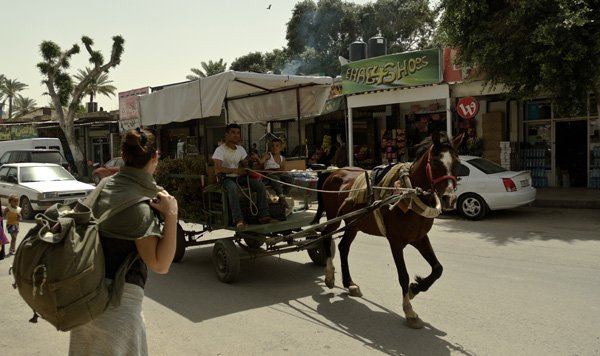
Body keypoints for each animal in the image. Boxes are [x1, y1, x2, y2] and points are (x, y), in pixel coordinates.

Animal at [316, 133, 462, 328]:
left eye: (457, 163)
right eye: (436, 163)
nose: (449, 198)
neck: (408, 193)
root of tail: (333, 172)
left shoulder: (420, 238)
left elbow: (438, 269)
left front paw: (416, 288)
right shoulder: (396, 241)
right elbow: (403, 276)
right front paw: (409, 311)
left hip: (354, 224)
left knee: (343, 247)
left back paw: (349, 283)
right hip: (334, 217)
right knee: (325, 235)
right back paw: (330, 276)